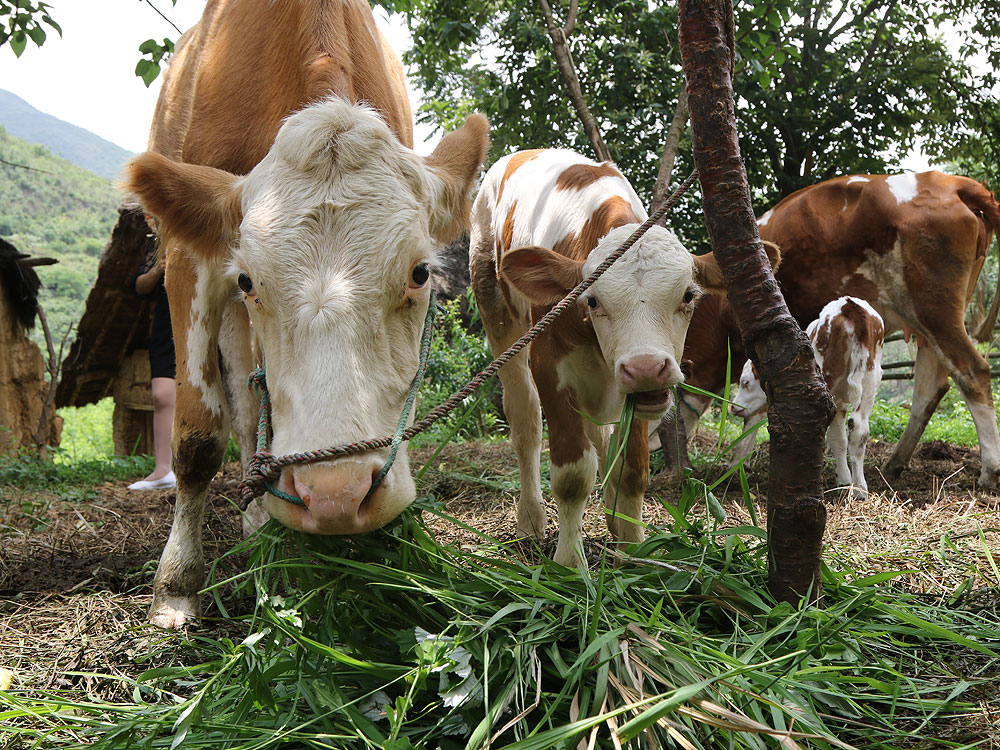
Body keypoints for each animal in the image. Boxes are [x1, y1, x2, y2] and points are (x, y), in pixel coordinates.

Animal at [123, 0, 490, 628]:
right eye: (249, 280)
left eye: (420, 273)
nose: (336, 494)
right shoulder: (191, 259)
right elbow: (197, 436)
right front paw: (176, 585)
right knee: (242, 405)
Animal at [728, 298, 884, 500]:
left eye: (745, 382)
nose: (732, 407)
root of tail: (849, 305)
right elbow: (840, 439)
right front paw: (845, 482)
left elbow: (835, 438)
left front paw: (842, 481)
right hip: (871, 376)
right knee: (859, 427)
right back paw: (859, 489)